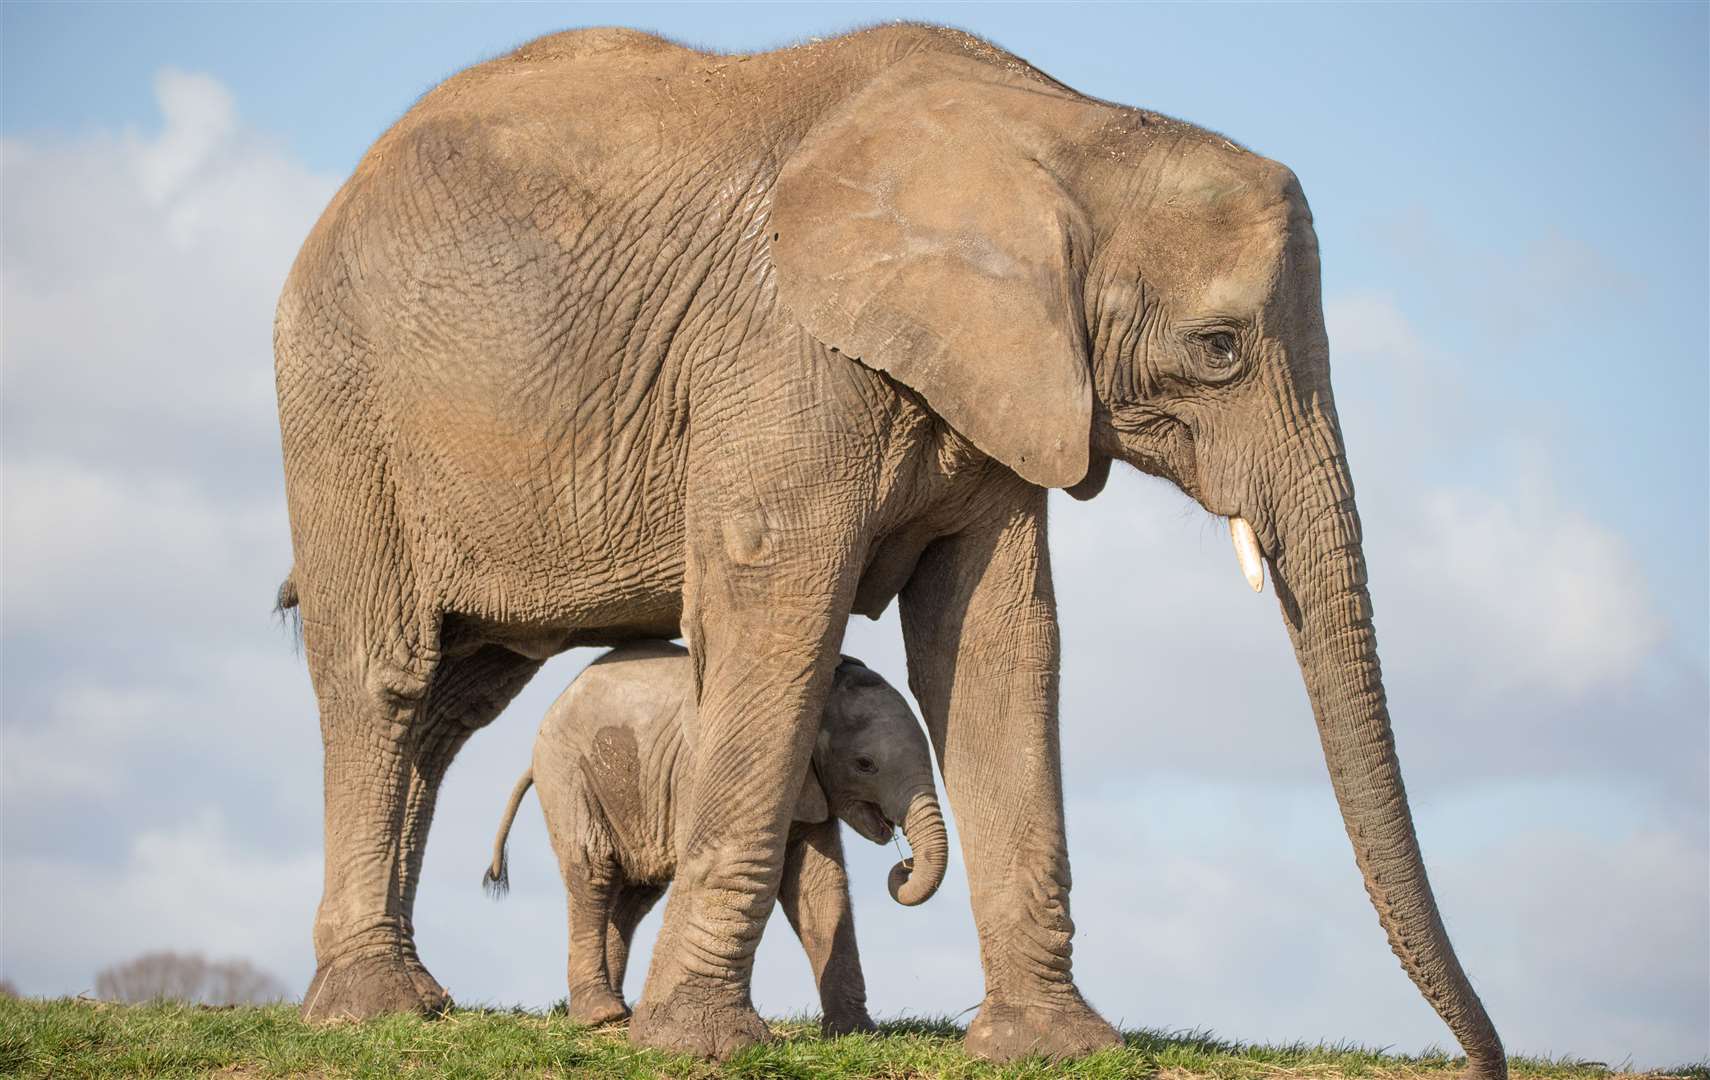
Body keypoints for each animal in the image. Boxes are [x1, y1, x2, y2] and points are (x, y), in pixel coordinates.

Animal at [485, 642, 950, 1032]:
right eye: (865, 764)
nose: (904, 864)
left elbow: (818, 886)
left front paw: (855, 1032)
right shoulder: (705, 775)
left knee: (635, 893)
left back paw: (621, 1012)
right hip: (566, 771)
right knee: (594, 869)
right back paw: (600, 1015)